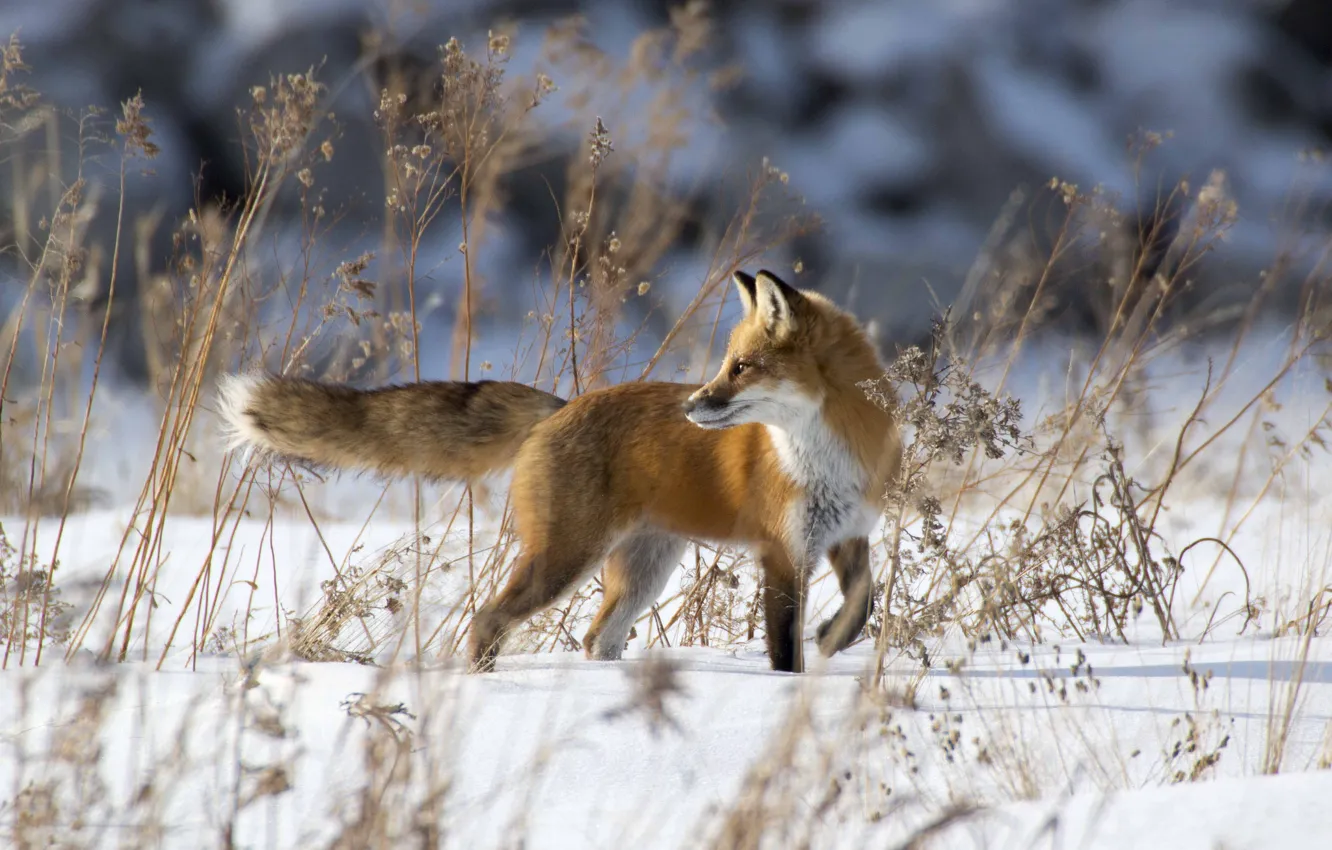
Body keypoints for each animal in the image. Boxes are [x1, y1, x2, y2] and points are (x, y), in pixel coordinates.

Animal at [218, 269, 900, 673]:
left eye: (742, 367)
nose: (690, 406)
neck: (828, 453)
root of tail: (560, 406)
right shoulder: (781, 551)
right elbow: (784, 648)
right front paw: (793, 686)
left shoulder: (847, 535)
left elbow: (863, 605)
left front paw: (832, 638)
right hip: (566, 560)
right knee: (489, 618)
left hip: (642, 570)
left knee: (597, 638)